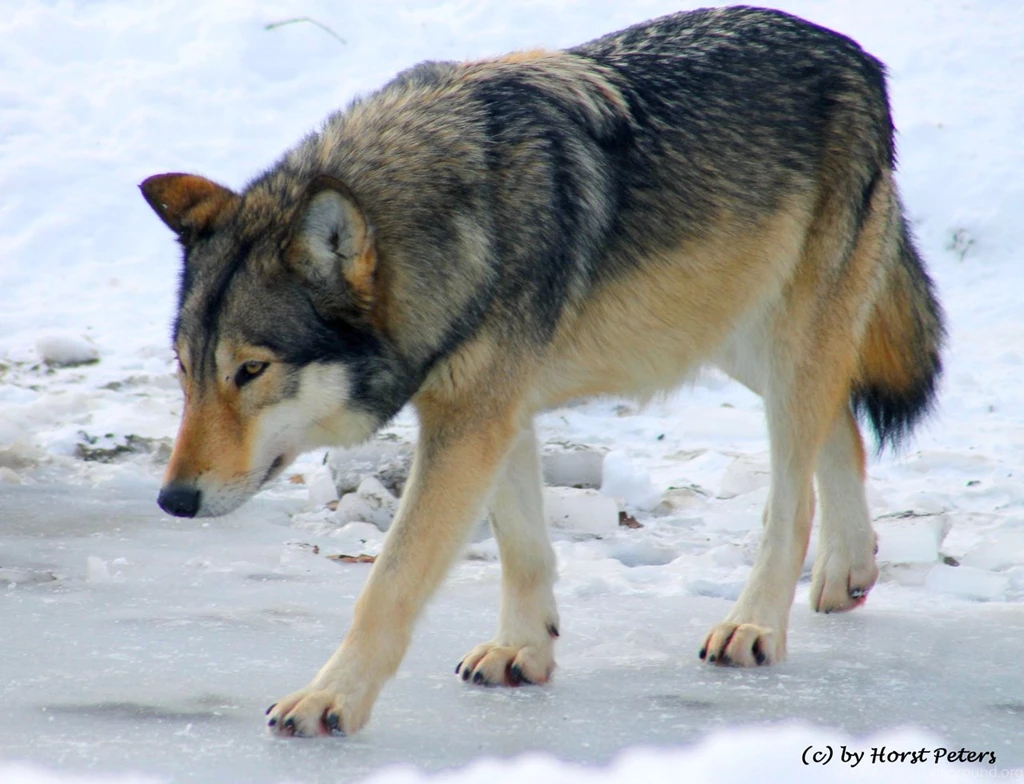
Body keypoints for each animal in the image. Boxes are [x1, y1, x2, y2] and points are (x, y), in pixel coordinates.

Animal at [141, 6, 943, 737]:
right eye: (185, 370)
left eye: (251, 370)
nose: (173, 501)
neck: (455, 230)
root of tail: (854, 54)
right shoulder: (496, 413)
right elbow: (523, 547)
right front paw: (524, 651)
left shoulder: (471, 423)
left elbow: (390, 582)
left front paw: (329, 699)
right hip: (730, 337)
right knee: (843, 423)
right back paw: (848, 571)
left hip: (779, 341)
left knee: (792, 494)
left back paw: (755, 626)